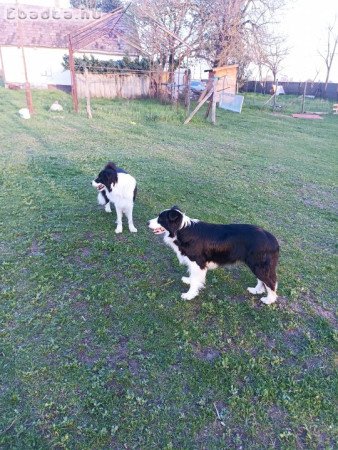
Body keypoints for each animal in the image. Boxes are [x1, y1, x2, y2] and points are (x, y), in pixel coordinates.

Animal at [149, 206, 280, 304]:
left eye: (160, 219)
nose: (147, 222)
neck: (181, 230)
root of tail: (273, 239)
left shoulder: (198, 262)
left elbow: (195, 280)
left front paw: (189, 295)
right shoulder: (194, 263)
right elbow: (193, 275)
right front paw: (188, 280)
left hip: (259, 264)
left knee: (271, 281)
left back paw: (269, 300)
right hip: (257, 264)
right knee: (262, 280)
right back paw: (255, 290)